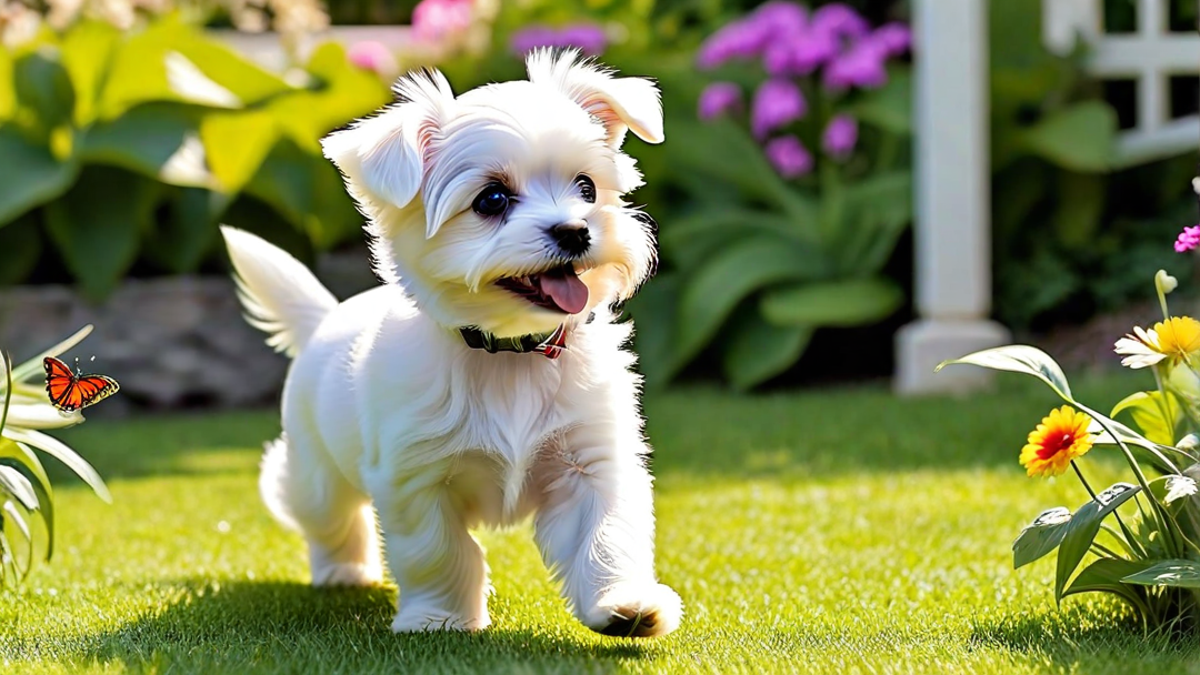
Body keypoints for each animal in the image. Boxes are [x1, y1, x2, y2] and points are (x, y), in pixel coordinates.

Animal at [219, 49, 681, 634]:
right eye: (492, 198)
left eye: (586, 188)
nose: (576, 230)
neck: (511, 351)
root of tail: (325, 317)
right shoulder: (415, 477)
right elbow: (439, 551)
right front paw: (440, 618)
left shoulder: (590, 461)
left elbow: (604, 536)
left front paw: (623, 602)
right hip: (314, 473)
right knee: (326, 517)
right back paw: (343, 571)